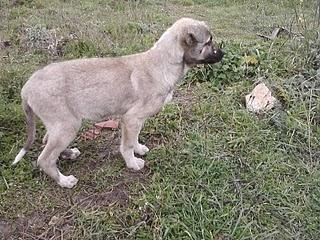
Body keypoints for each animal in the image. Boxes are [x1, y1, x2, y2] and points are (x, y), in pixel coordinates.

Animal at [11, 17, 222, 188]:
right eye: (209, 42)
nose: (223, 54)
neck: (162, 63)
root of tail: (26, 87)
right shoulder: (131, 118)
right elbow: (126, 146)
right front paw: (133, 163)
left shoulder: (133, 120)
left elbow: (134, 138)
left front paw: (139, 149)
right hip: (67, 125)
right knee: (45, 159)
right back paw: (64, 181)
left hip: (59, 125)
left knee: (47, 141)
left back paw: (69, 154)